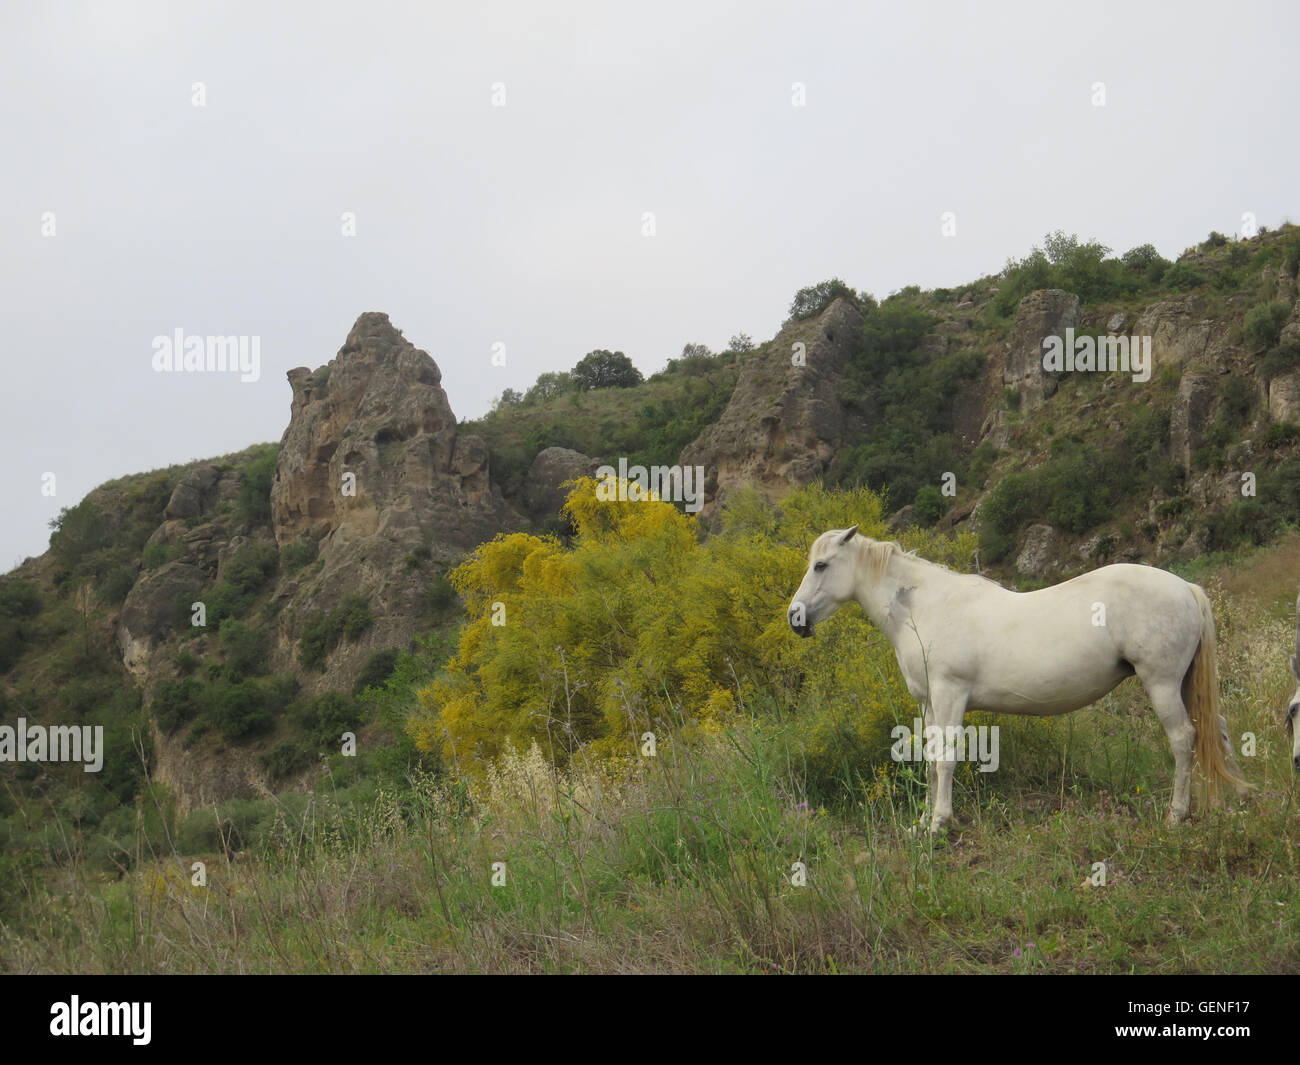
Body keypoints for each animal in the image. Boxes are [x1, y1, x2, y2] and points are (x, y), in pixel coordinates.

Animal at [785, 527, 1242, 837]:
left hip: (1161, 684)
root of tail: (1185, 587)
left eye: (821, 565)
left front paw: (939, 824)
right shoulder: (928, 702)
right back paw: (1230, 805)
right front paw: (922, 821)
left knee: (1184, 739)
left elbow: (945, 758)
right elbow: (930, 760)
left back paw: (1176, 814)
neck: (923, 607)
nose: (795, 618)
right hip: (1184, 685)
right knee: (1216, 732)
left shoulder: (950, 695)